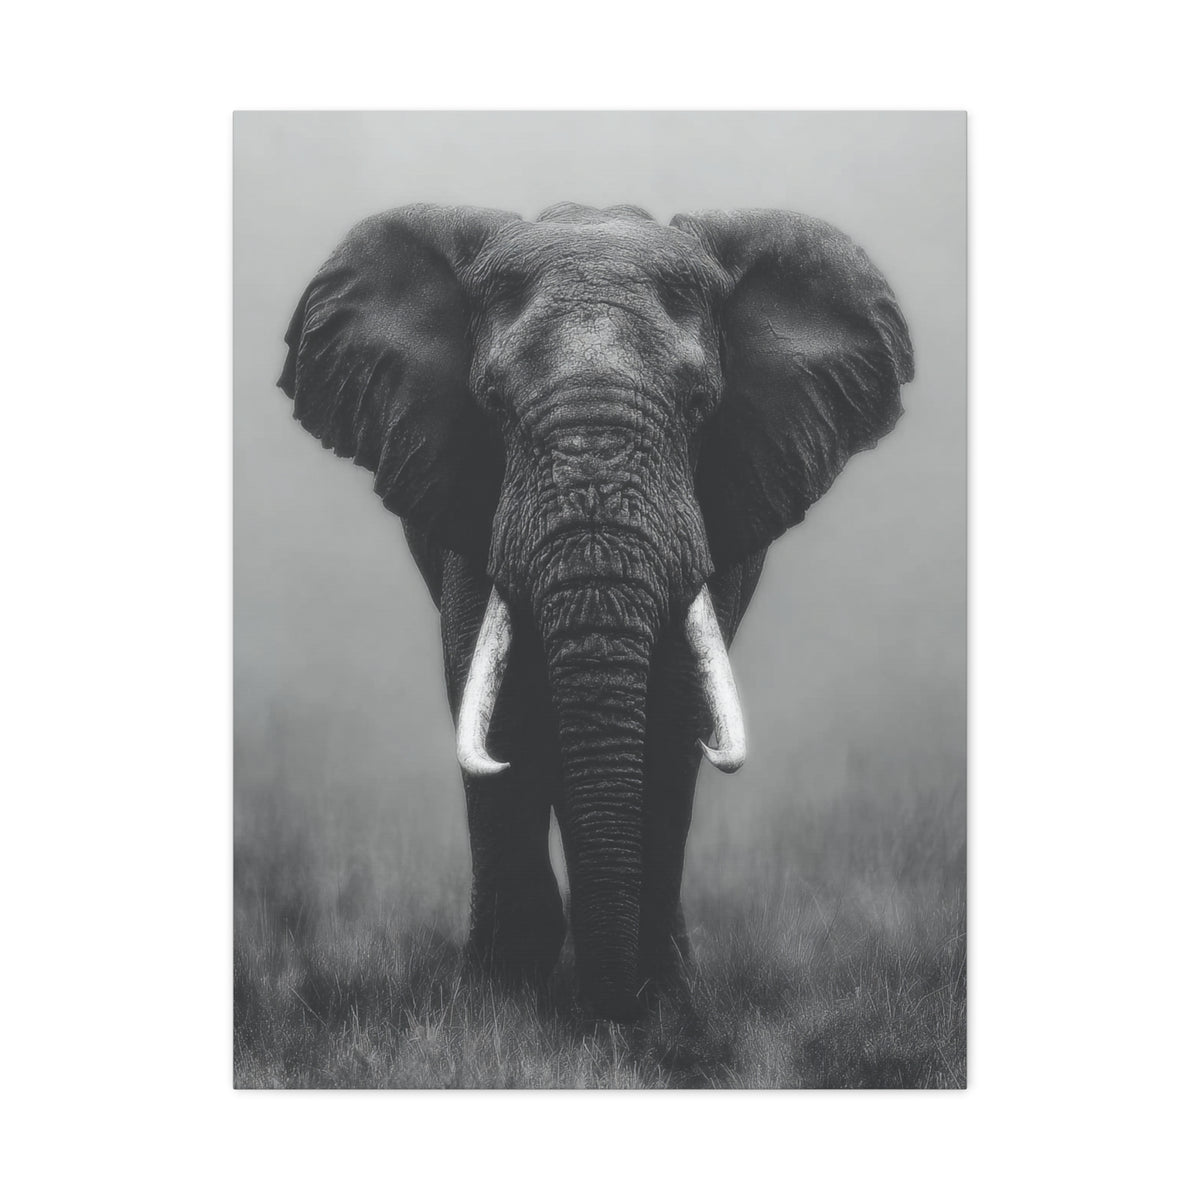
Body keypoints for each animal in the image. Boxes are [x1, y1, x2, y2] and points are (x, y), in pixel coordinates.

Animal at [278, 201, 913, 1020]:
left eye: (701, 407)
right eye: (492, 404)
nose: (606, 1009)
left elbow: (675, 714)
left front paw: (658, 1002)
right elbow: (502, 707)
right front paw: (502, 998)